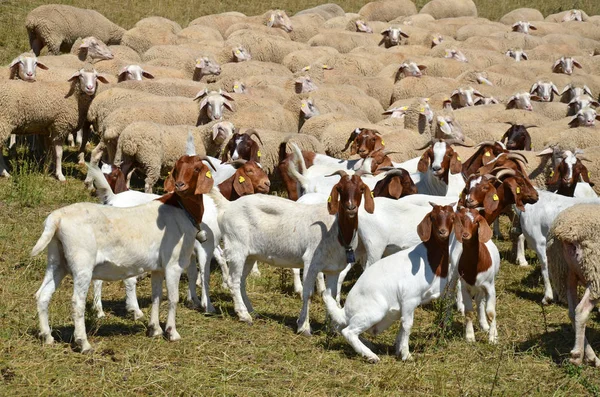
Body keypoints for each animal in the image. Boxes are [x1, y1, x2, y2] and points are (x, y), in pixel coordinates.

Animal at [31, 153, 216, 352]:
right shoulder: (173, 265)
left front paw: (154, 329)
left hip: (57, 261)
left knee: (43, 295)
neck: (181, 209)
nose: (180, 185)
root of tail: (57, 218)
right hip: (82, 265)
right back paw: (83, 343)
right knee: (77, 303)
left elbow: (156, 296)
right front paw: (172, 333)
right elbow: (173, 298)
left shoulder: (158, 268)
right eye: (177, 169)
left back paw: (47, 337)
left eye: (196, 168)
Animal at [209, 170, 372, 334]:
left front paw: (332, 327)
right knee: (233, 281)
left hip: (249, 255)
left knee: (241, 281)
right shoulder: (311, 262)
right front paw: (304, 327)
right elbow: (307, 293)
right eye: (339, 188)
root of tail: (228, 205)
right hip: (237, 247)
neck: (336, 230)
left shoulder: (333, 269)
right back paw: (244, 315)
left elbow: (330, 295)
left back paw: (251, 311)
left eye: (361, 188)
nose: (351, 207)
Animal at [324, 203, 454, 360]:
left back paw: (369, 346)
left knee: (343, 327)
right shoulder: (410, 298)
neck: (429, 257)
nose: (443, 232)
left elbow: (403, 325)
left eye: (452, 217)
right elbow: (407, 325)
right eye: (433, 218)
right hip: (375, 310)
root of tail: (346, 311)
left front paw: (399, 350)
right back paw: (371, 356)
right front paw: (406, 354)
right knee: (348, 332)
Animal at [452, 206, 500, 342]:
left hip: (482, 287)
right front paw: (469, 336)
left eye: (476, 222)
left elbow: (491, 312)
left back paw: (485, 325)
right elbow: (468, 311)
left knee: (480, 302)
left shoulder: (489, 287)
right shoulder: (465, 287)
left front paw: (493, 337)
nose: (465, 235)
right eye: (461, 220)